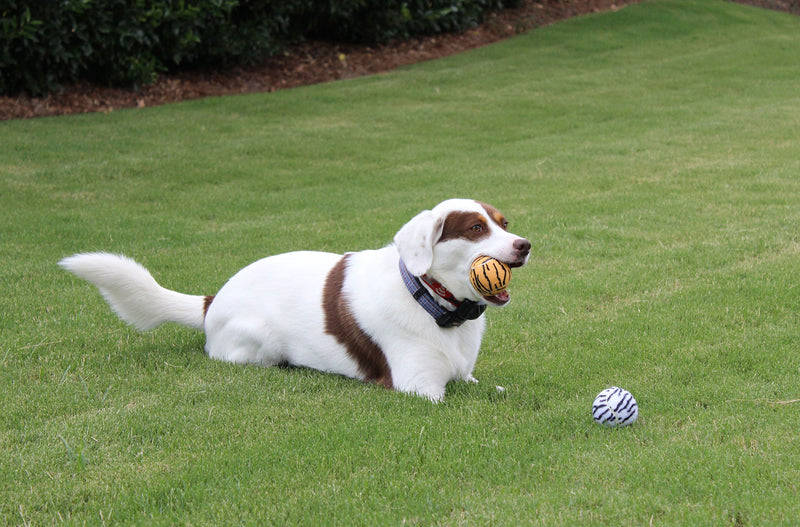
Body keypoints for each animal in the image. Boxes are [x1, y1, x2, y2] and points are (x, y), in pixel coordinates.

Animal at [57, 200, 532, 402]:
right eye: (475, 228)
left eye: (504, 223)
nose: (525, 245)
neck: (430, 301)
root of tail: (213, 301)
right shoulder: (420, 388)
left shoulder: (465, 378)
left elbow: (497, 391)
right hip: (262, 342)